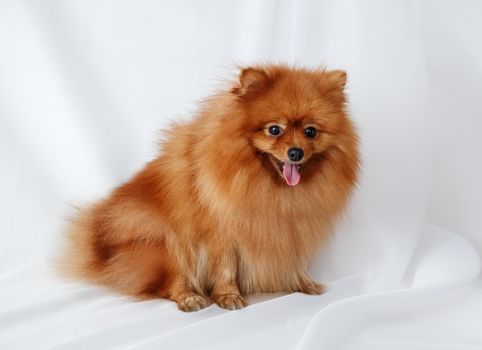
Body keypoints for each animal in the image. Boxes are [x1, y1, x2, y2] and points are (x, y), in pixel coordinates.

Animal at [59, 64, 358, 310]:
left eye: (310, 132)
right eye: (274, 130)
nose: (296, 152)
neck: (268, 186)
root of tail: (99, 245)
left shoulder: (290, 229)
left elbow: (293, 260)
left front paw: (304, 282)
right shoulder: (219, 232)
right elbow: (224, 267)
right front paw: (228, 296)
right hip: (163, 242)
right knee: (171, 283)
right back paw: (190, 297)